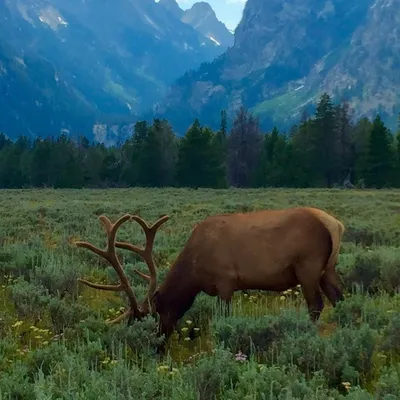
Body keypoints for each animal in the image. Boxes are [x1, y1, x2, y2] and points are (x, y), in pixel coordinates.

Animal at [76, 206, 346, 346]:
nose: (159, 344)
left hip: (308, 267)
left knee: (316, 305)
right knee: (339, 299)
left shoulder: (226, 280)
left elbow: (224, 317)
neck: (195, 271)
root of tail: (335, 224)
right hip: (328, 269)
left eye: (155, 313)